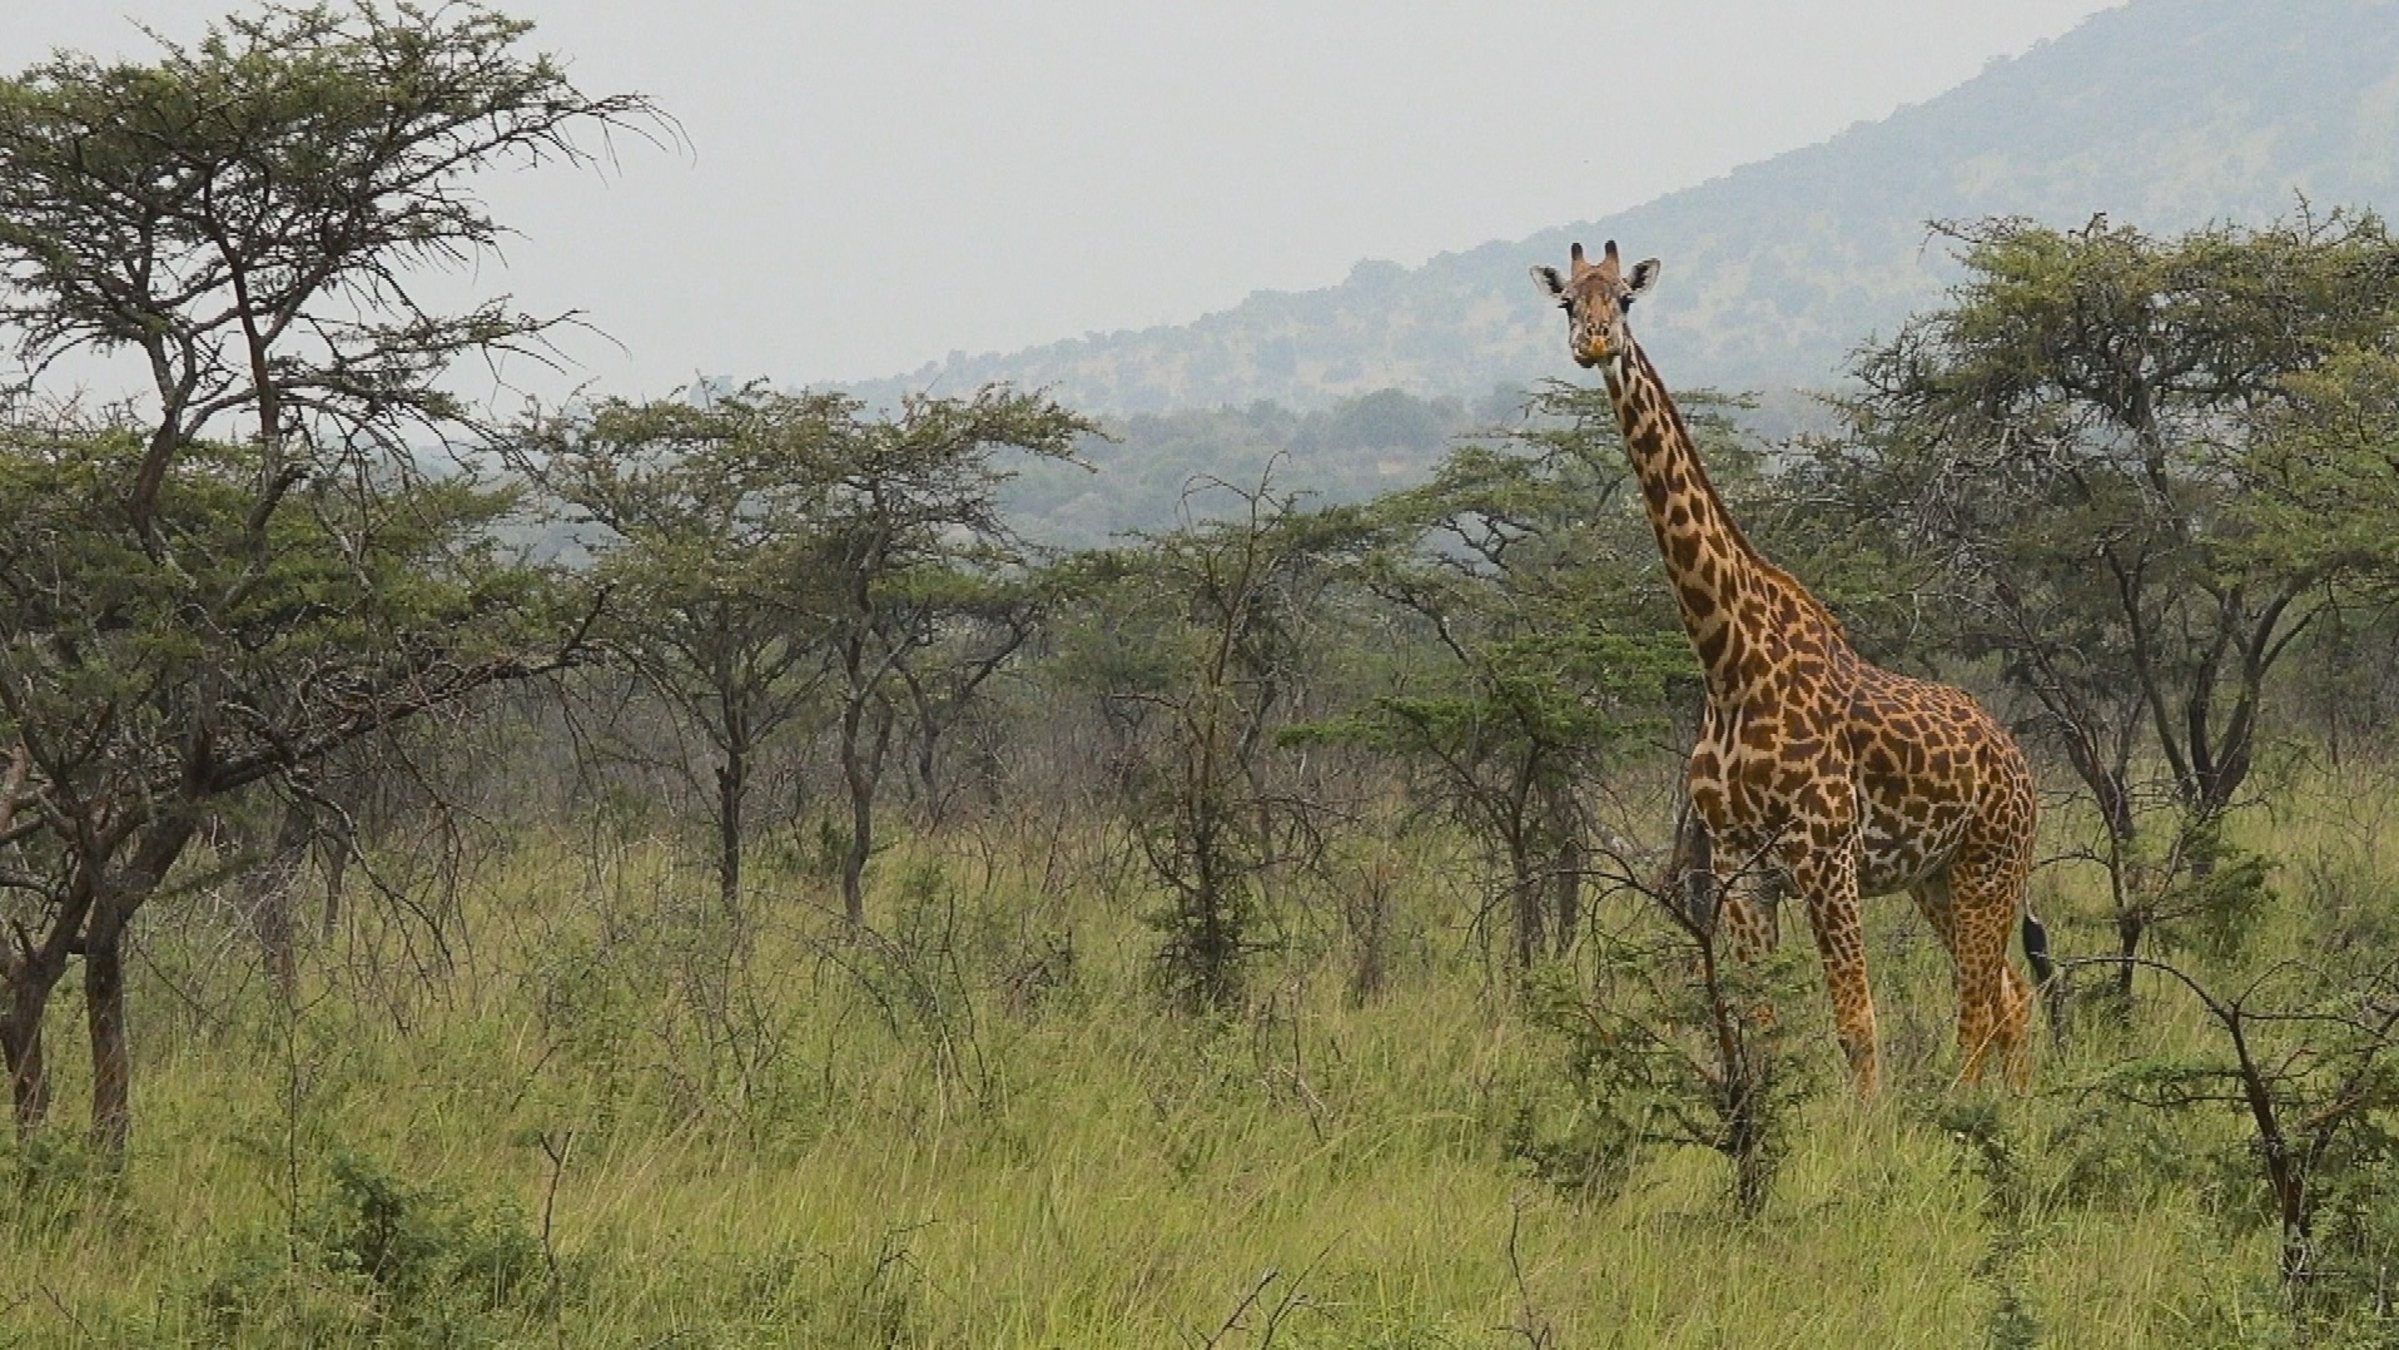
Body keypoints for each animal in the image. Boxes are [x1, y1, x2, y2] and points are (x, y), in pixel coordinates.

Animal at [1532, 240, 2051, 1093]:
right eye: (1567, 303)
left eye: (1626, 300)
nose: (1595, 342)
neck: (1728, 662)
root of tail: (2014, 757)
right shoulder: (1741, 870)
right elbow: (1761, 1027)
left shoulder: (1826, 857)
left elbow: (1856, 1025)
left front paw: (1869, 1127)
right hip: (1935, 877)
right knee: (2008, 994)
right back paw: (2013, 1106)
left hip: (1991, 862)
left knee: (1979, 1001)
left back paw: (1969, 1108)